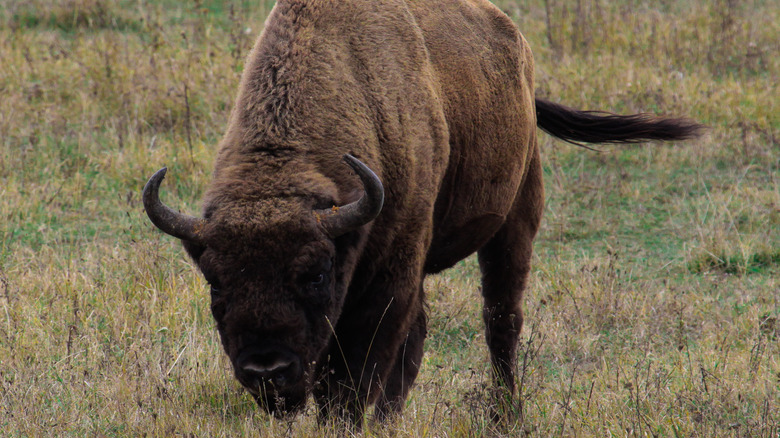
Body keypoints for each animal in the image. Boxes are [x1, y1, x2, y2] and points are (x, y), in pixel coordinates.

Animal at [143, 0, 704, 426]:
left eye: (316, 274)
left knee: (501, 320)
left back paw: (505, 415)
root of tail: (517, 49)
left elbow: (353, 379)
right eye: (215, 280)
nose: (266, 370)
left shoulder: (387, 278)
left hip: (516, 221)